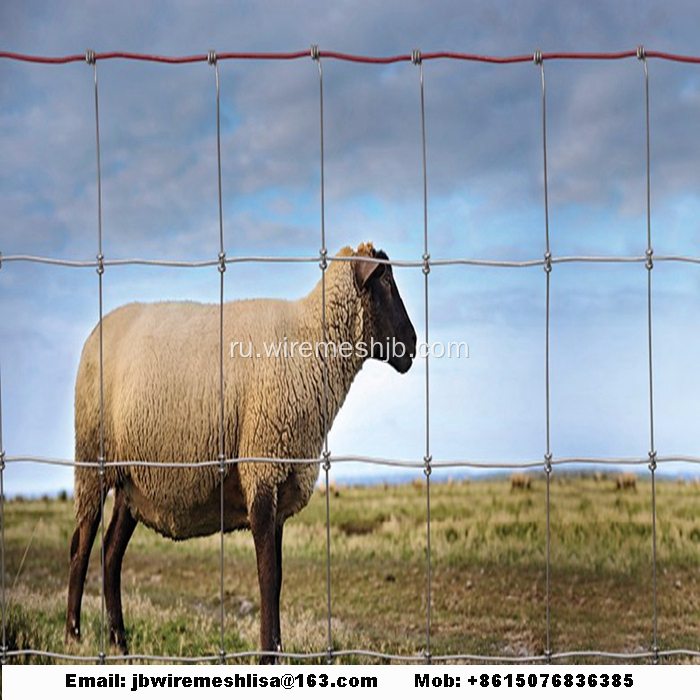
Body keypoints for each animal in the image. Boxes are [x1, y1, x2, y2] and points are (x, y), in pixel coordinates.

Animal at [65, 242, 416, 660]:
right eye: (388, 282)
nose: (414, 345)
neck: (311, 344)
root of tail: (95, 331)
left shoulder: (281, 480)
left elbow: (277, 577)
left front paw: (276, 651)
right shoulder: (261, 467)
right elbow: (268, 575)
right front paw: (267, 654)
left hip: (132, 481)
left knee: (110, 553)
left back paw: (120, 641)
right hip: (92, 457)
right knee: (82, 544)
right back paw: (73, 635)